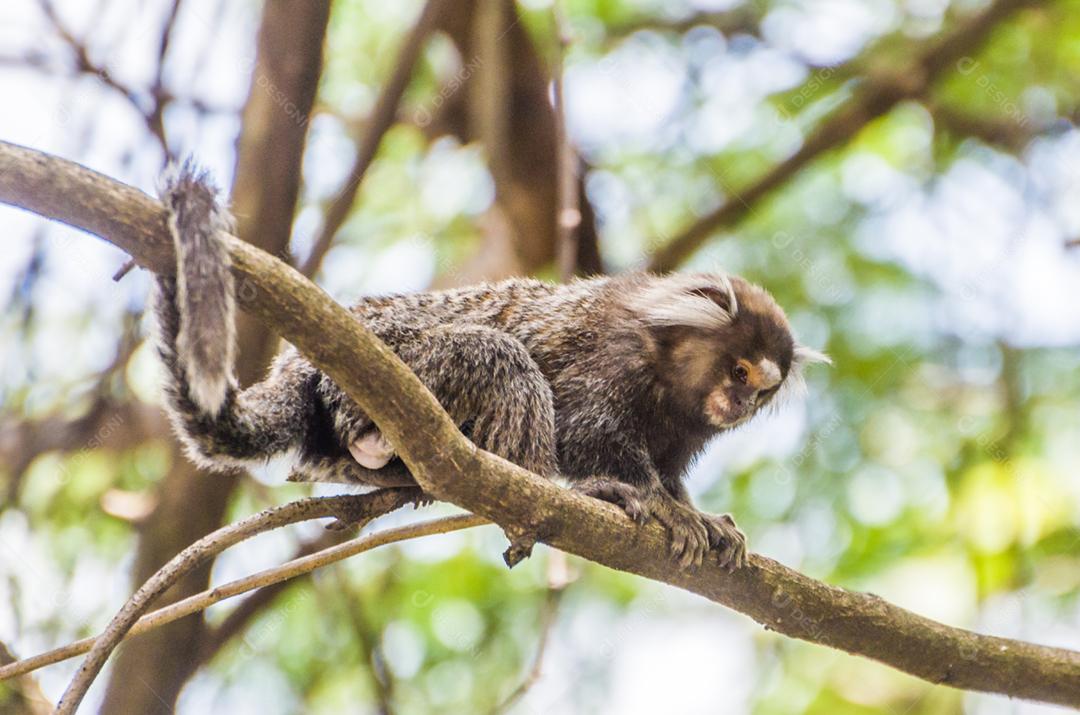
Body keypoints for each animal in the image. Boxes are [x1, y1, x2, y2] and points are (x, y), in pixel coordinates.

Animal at [154, 163, 829, 571]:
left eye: (762, 391)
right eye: (740, 372)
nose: (739, 404)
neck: (665, 369)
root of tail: (303, 368)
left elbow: (668, 468)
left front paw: (696, 511)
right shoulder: (609, 360)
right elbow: (588, 432)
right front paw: (660, 505)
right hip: (392, 371)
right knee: (500, 359)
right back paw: (560, 487)